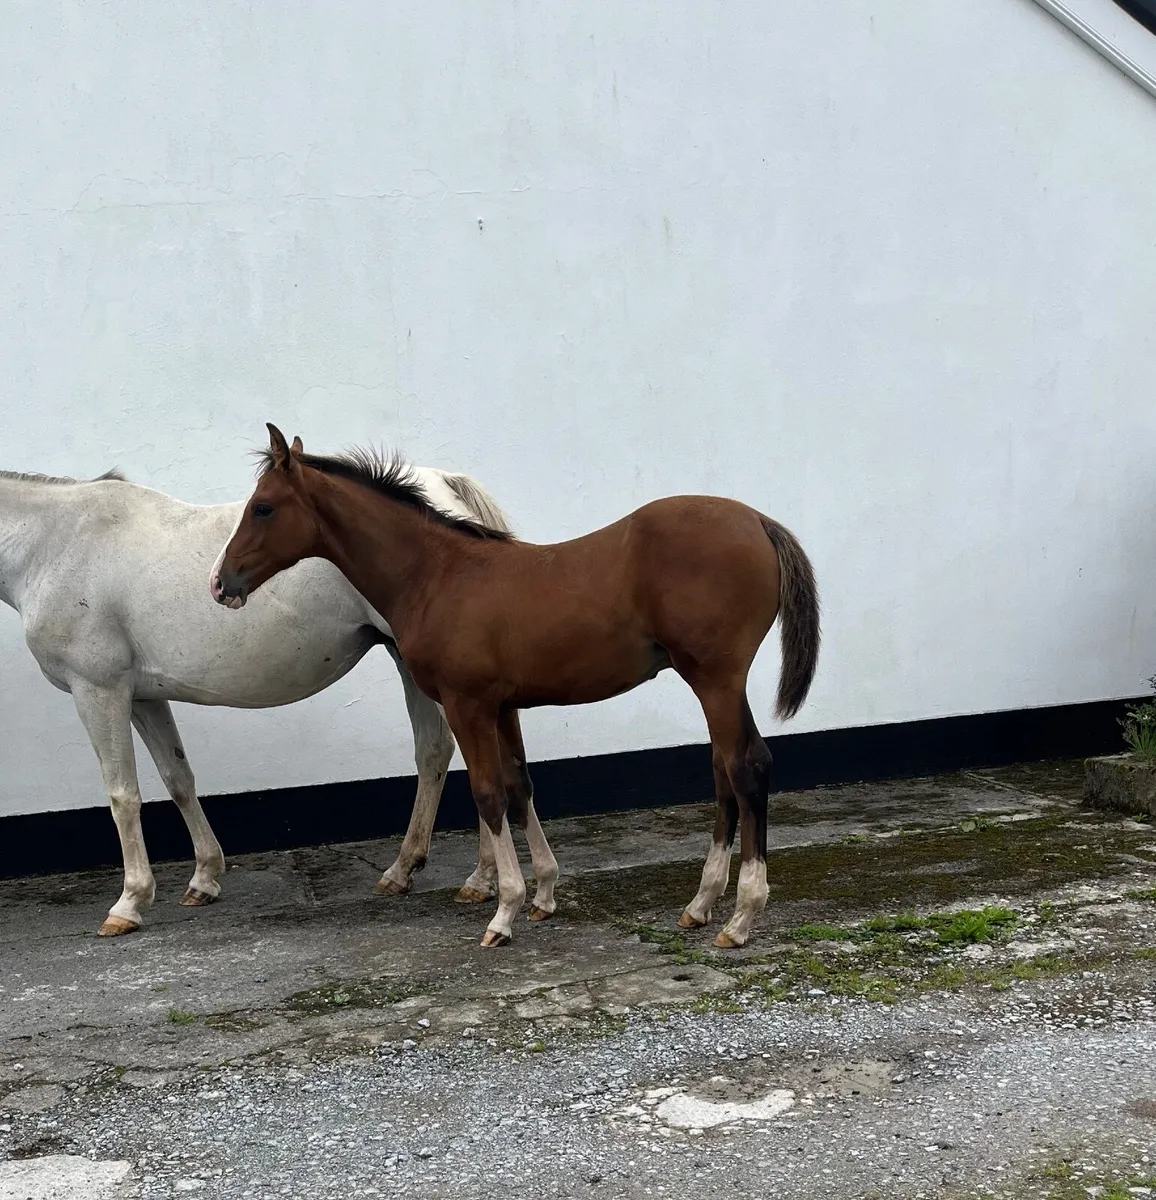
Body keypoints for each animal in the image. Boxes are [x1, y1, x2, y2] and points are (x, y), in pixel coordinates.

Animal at [0, 461, 532, 936]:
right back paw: (404, 871)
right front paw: (204, 878)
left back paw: (482, 881)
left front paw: (129, 903)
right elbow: (178, 780)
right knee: (434, 751)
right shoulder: (142, 698)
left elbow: (122, 795)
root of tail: (445, 485)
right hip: (406, 659)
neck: (54, 544)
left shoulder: (99, 691)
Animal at [213, 425, 820, 949]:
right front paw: (544, 894)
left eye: (263, 507)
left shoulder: (467, 705)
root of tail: (759, 521)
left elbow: (486, 793)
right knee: (724, 770)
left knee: (746, 767)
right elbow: (518, 784)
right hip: (716, 684)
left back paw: (741, 916)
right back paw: (700, 905)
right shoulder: (503, 707)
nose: (222, 584)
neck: (437, 575)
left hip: (716, 679)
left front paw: (503, 911)